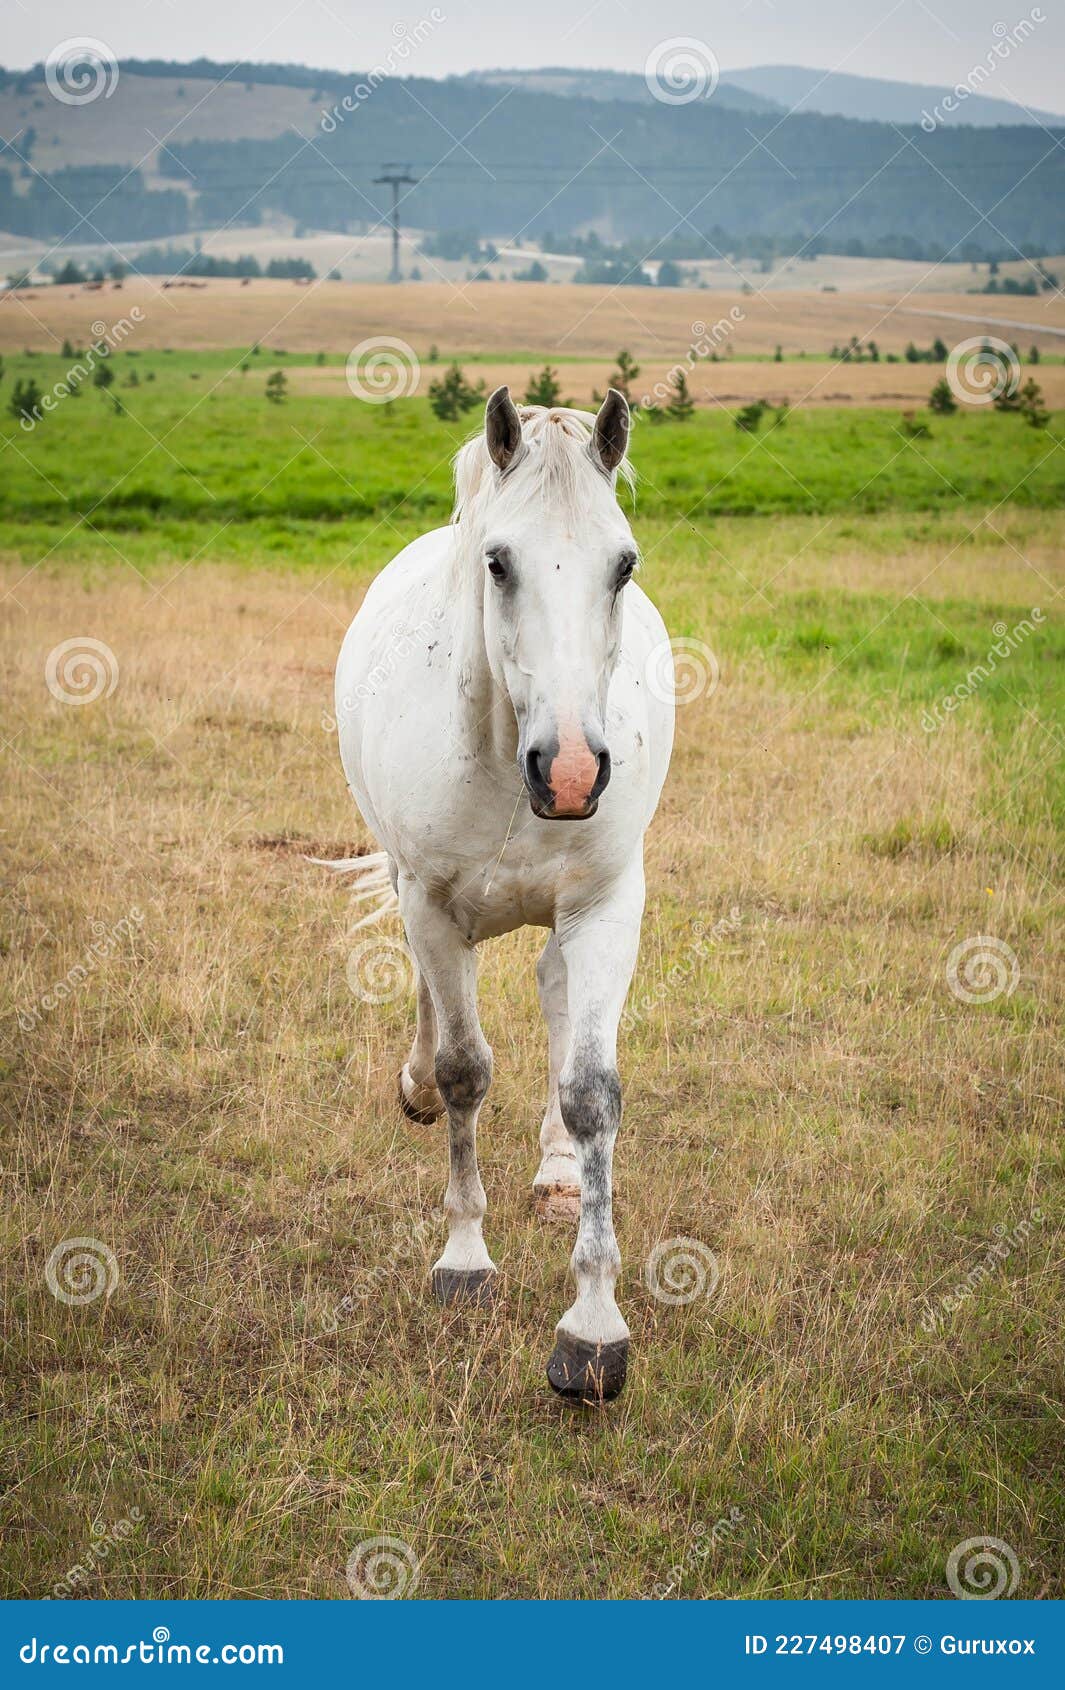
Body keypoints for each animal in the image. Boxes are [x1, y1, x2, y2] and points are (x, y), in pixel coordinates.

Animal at [334, 388, 676, 1406]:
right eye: (498, 561)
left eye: (623, 563)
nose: (568, 773)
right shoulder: (432, 905)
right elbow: (462, 1072)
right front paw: (464, 1262)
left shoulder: (606, 910)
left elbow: (592, 1091)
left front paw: (592, 1328)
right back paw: (411, 1086)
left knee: (556, 995)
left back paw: (560, 1175)